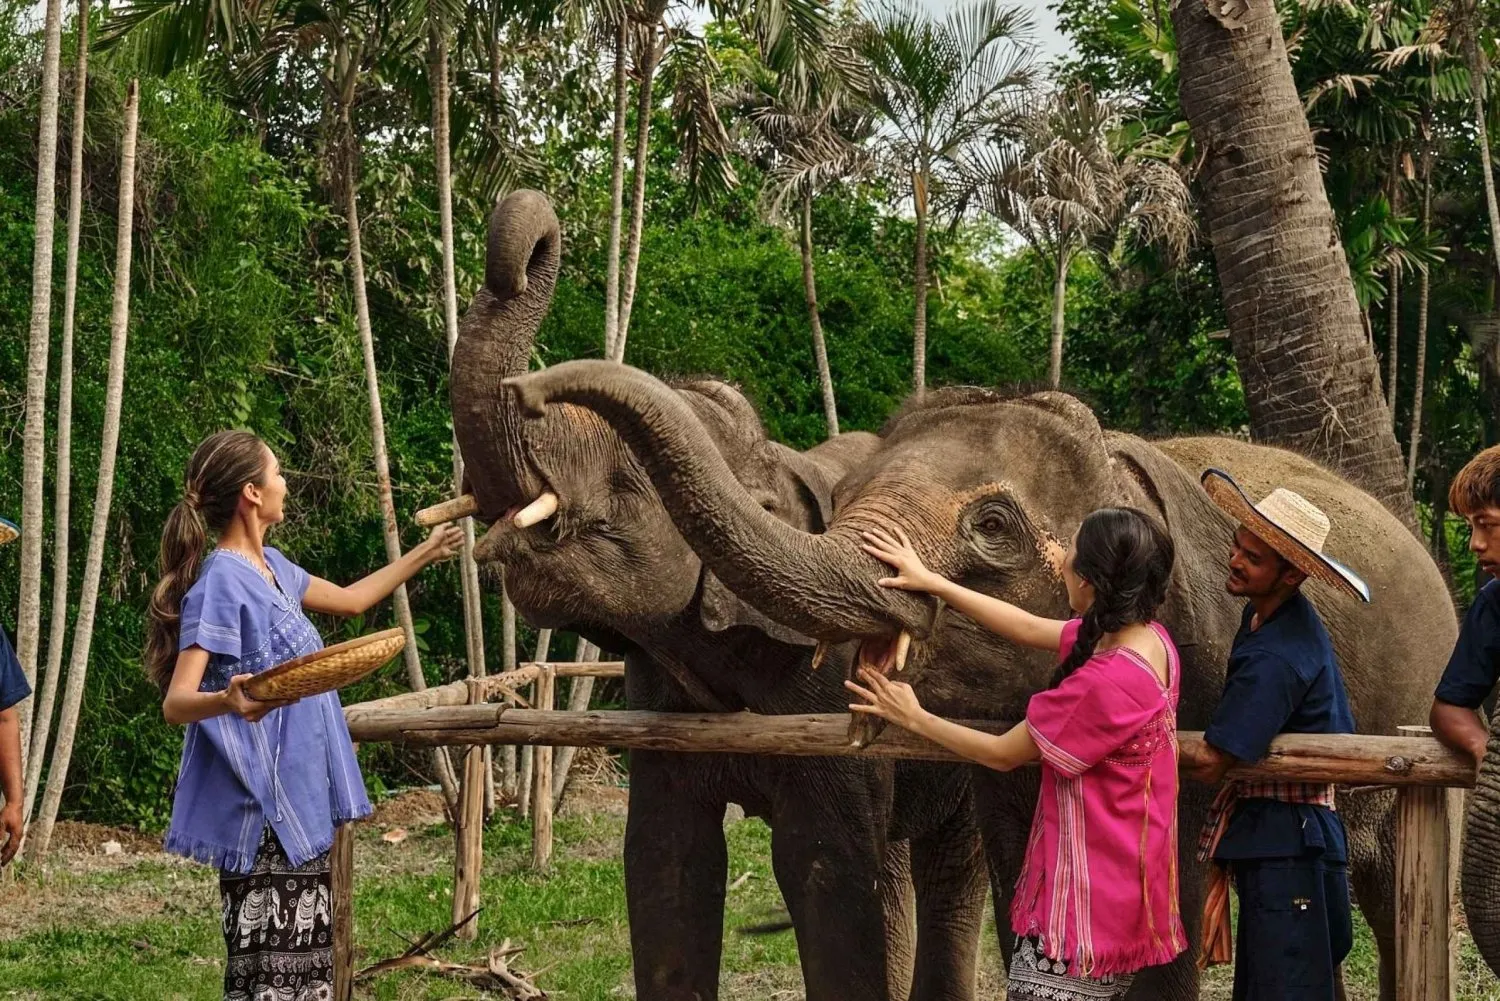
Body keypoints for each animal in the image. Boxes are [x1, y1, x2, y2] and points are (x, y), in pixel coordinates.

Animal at [450, 190, 989, 1001]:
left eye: (634, 474)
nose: (524, 250)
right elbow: (666, 863)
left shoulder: (833, 690)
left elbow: (827, 872)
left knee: (951, 867)